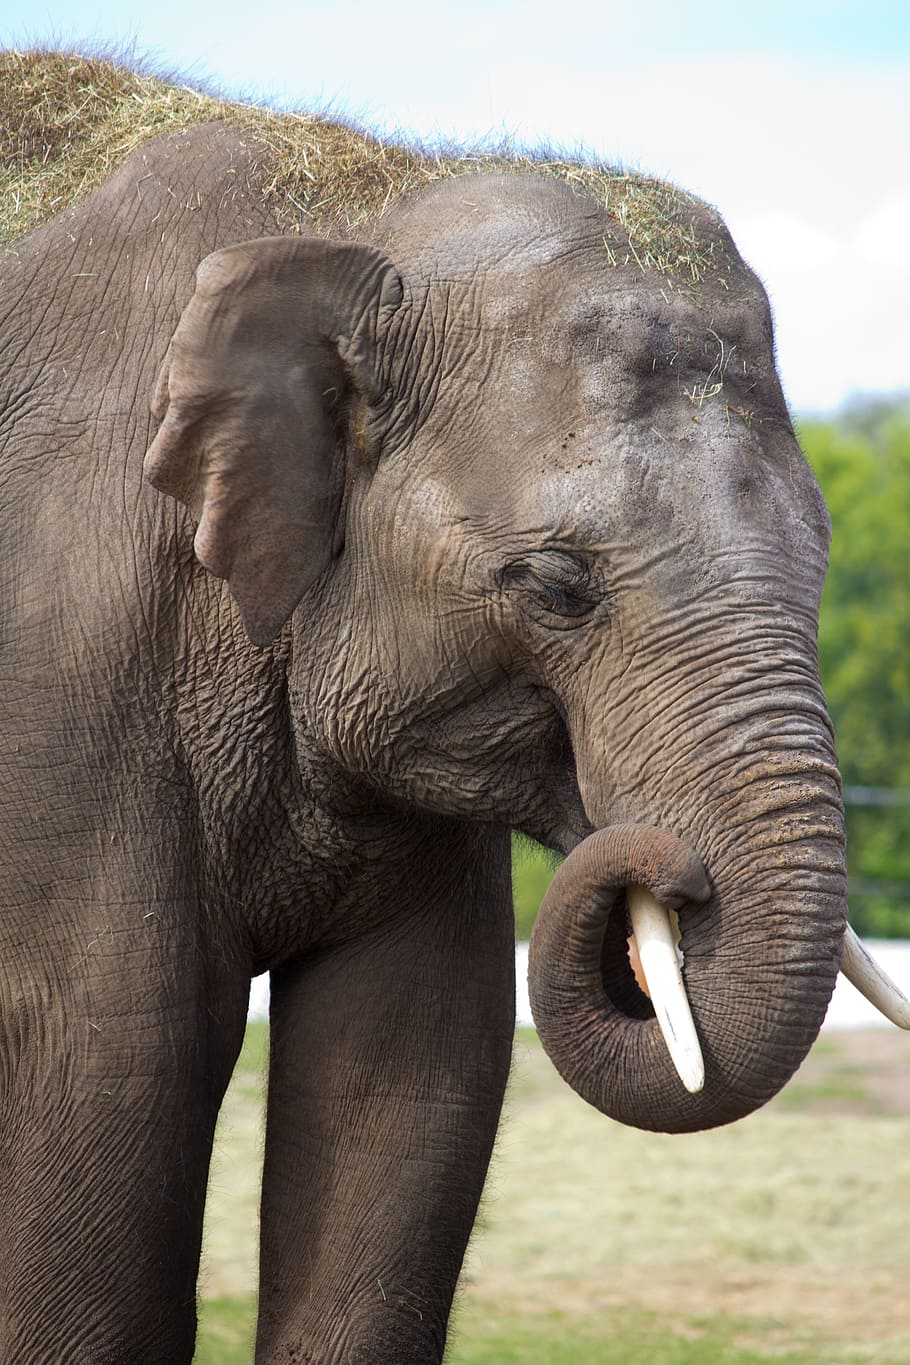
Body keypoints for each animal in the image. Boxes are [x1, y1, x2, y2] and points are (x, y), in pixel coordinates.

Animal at [1, 50, 907, 1364]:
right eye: (555, 585)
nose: (670, 870)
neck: (355, 208)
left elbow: (414, 1069)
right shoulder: (69, 652)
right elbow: (111, 1057)